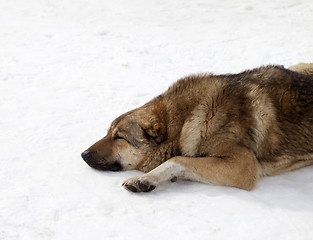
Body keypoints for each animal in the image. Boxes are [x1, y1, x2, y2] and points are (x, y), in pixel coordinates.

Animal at [81, 62, 312, 193]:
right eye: (108, 133)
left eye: (118, 137)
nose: (83, 154)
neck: (186, 119)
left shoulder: (243, 166)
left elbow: (177, 160)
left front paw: (145, 179)